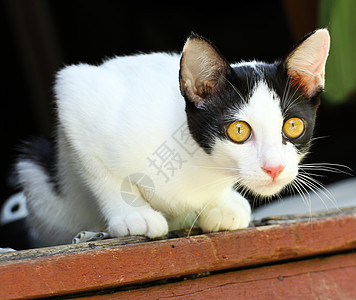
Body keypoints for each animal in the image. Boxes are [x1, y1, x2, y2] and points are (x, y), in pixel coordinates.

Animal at [15, 28, 330, 246]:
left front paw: (220, 203)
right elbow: (101, 173)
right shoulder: (74, 93)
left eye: (293, 126)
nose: (274, 167)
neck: (200, 162)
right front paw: (132, 215)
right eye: (239, 130)